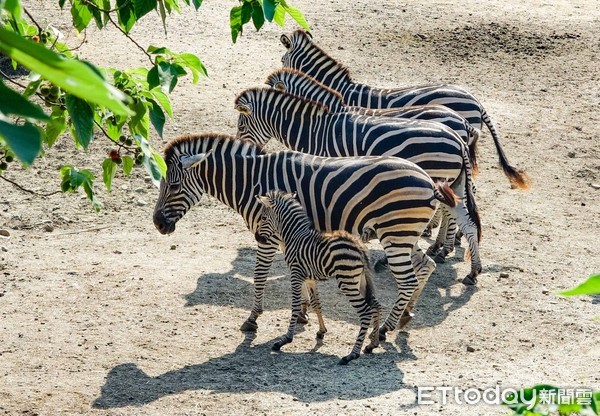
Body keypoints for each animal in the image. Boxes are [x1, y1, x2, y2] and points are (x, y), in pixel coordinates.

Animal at [152, 135, 458, 340]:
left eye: (174, 185)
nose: (157, 224)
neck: (250, 183)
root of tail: (428, 180)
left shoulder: (267, 235)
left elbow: (260, 275)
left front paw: (254, 317)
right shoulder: (287, 234)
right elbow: (302, 275)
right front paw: (302, 313)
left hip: (396, 233)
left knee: (408, 279)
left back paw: (384, 329)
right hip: (404, 233)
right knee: (425, 266)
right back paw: (405, 315)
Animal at [234, 85, 482, 284]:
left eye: (242, 125)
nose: (245, 152)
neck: (314, 130)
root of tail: (459, 138)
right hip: (454, 183)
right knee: (467, 221)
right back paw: (469, 268)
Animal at [255, 190, 382, 366]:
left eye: (263, 218)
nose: (257, 238)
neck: (294, 236)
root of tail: (359, 247)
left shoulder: (296, 274)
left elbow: (295, 306)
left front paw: (285, 339)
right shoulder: (309, 277)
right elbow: (316, 303)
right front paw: (321, 331)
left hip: (347, 282)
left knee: (365, 311)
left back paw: (352, 354)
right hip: (360, 280)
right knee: (376, 304)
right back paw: (372, 344)